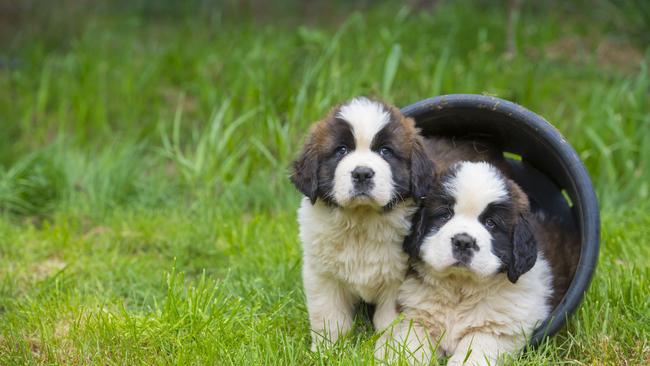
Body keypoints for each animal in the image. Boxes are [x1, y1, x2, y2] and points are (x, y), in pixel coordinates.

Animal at [290, 96, 432, 348]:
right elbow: (329, 316)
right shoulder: (322, 275)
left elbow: (390, 321)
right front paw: (327, 349)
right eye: (341, 150)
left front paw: (389, 349)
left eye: (385, 151)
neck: (361, 220)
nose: (362, 173)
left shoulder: (399, 280)